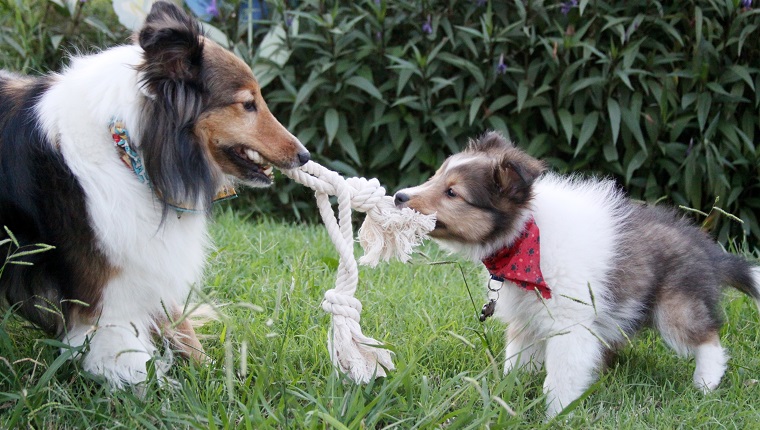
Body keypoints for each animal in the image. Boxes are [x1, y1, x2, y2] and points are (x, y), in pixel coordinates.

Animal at [0, 1, 308, 388]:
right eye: (248, 104)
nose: (305, 155)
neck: (129, 147)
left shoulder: (143, 256)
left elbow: (178, 322)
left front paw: (211, 372)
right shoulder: (105, 285)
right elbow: (126, 349)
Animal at [398, 133, 760, 418]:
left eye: (452, 193)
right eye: (435, 176)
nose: (399, 196)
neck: (526, 237)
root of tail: (708, 250)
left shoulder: (570, 323)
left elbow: (562, 375)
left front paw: (557, 414)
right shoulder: (527, 319)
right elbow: (517, 360)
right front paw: (508, 393)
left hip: (676, 307)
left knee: (708, 339)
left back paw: (705, 384)